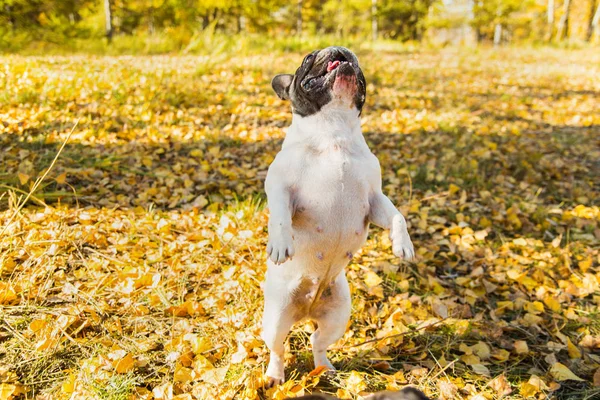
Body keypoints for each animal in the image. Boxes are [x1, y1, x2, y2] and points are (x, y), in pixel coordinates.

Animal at [264, 45, 414, 386]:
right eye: (308, 58)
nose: (340, 50)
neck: (333, 131)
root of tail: (307, 310)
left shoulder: (374, 198)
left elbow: (398, 216)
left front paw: (404, 245)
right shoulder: (279, 186)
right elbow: (279, 215)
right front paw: (280, 244)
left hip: (338, 315)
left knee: (316, 342)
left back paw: (325, 368)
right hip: (276, 317)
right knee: (278, 348)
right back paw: (275, 375)